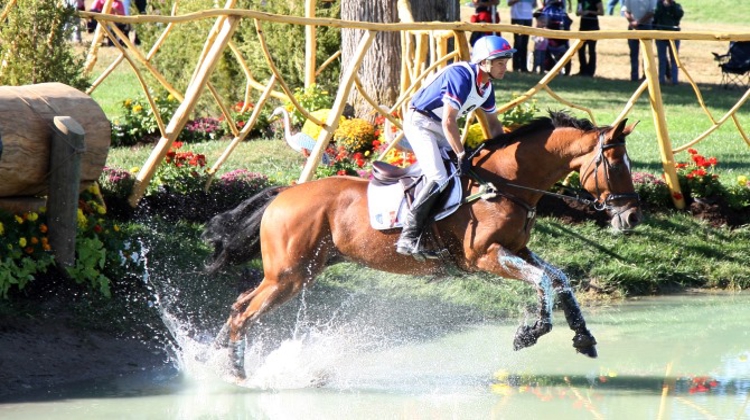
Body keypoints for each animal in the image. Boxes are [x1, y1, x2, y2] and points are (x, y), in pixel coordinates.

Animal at [203, 110, 644, 378]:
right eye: (616, 164)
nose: (632, 217)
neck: (506, 184)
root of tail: (284, 194)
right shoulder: (485, 257)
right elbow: (543, 282)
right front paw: (530, 333)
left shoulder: (516, 250)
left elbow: (559, 279)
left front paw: (582, 338)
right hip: (290, 276)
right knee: (246, 313)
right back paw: (238, 373)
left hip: (299, 271)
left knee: (239, 304)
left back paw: (217, 353)